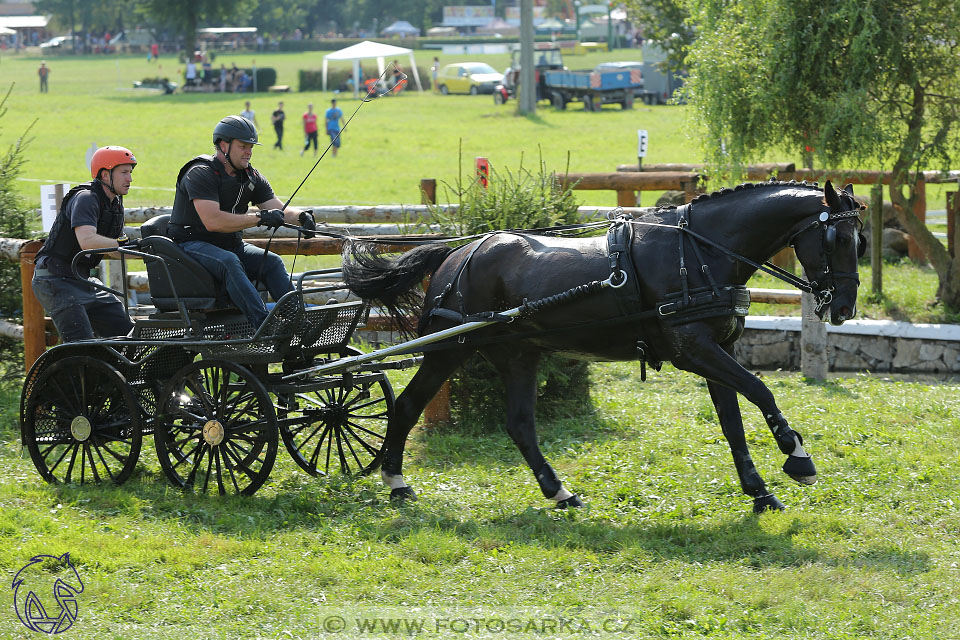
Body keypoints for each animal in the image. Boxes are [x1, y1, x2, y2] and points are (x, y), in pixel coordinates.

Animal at [342, 179, 868, 510]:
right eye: (838, 238)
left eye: (859, 241)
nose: (843, 307)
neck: (700, 251)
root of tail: (459, 253)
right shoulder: (695, 352)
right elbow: (761, 391)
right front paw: (797, 456)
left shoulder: (719, 352)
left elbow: (733, 424)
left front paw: (759, 492)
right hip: (450, 349)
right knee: (407, 406)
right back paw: (396, 481)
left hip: (518, 354)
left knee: (520, 425)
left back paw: (559, 492)